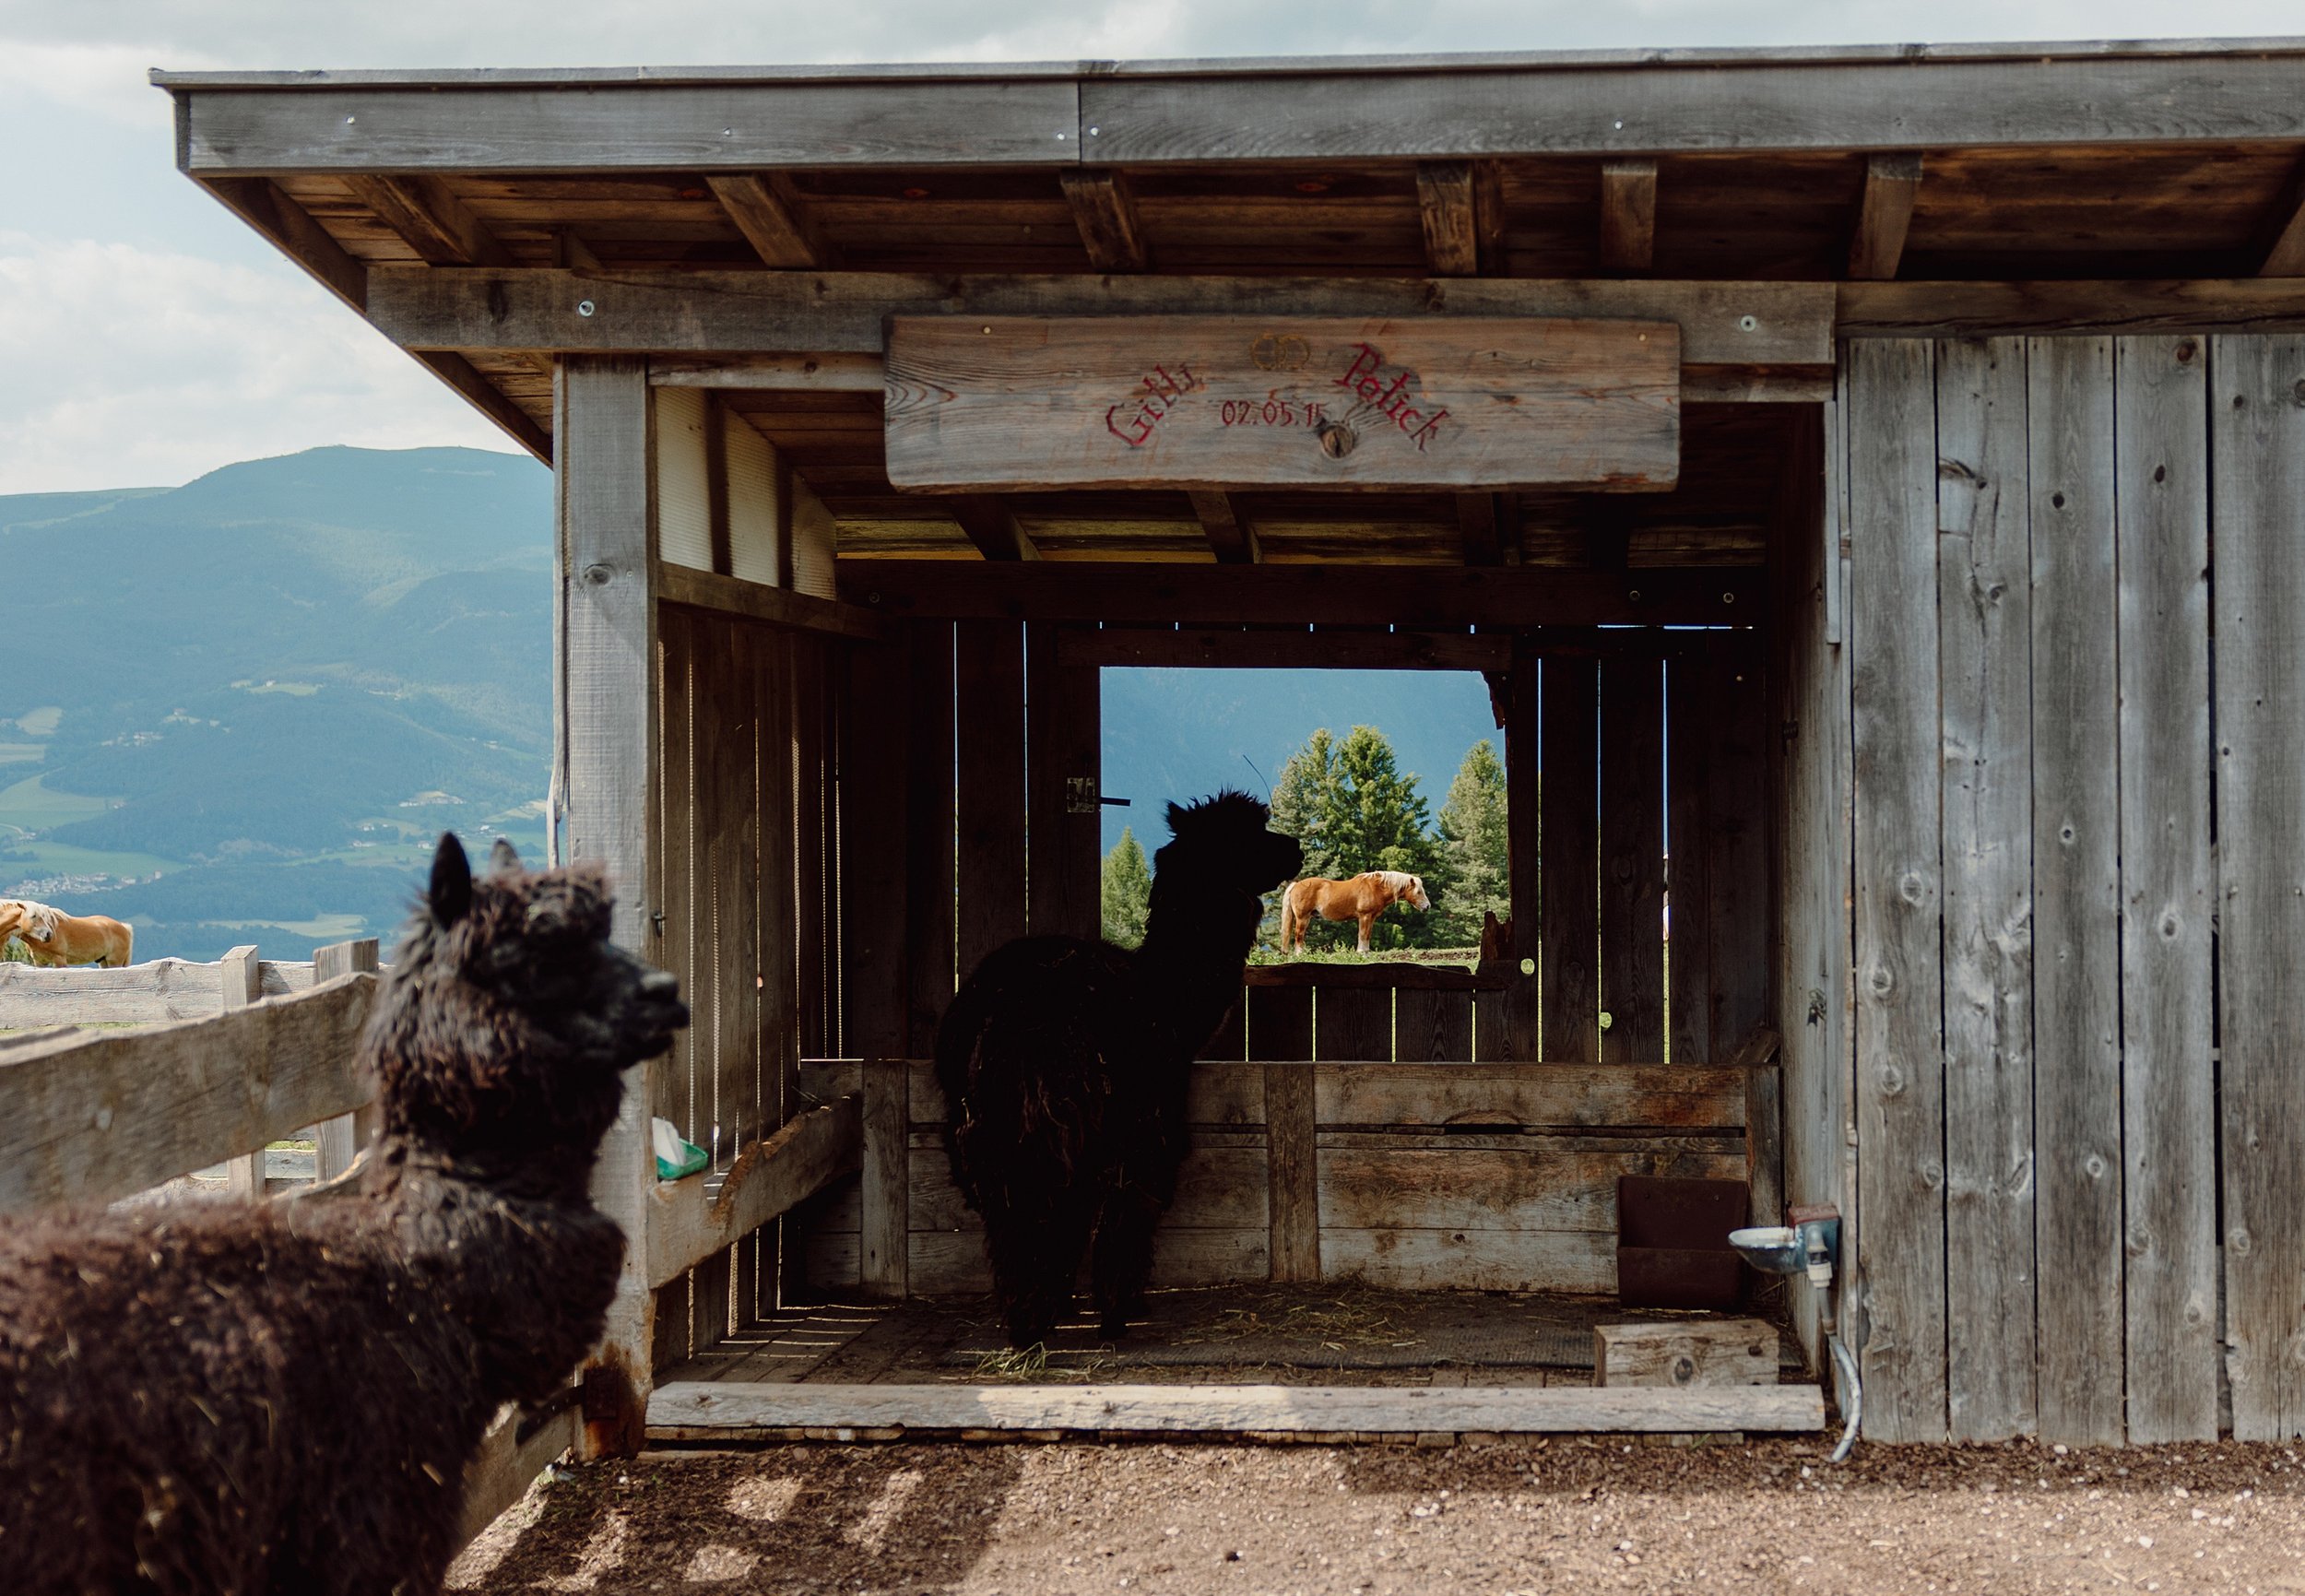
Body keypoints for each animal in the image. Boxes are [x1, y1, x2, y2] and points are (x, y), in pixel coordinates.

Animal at [1282, 871, 1420, 945]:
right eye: (1418, 892)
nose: (1425, 907)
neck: (1374, 887)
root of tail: (1296, 885)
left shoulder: (1371, 917)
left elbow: (1367, 935)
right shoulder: (1364, 916)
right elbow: (1363, 935)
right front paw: (1361, 954)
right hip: (1302, 918)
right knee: (1299, 936)